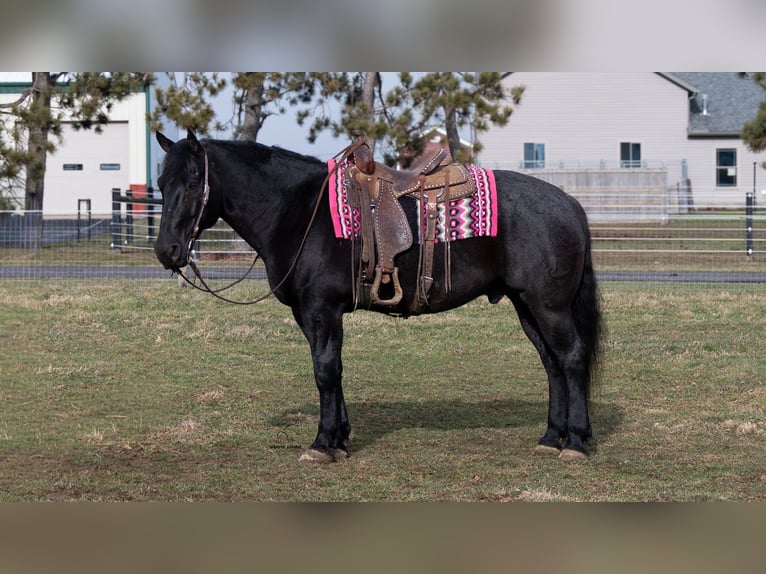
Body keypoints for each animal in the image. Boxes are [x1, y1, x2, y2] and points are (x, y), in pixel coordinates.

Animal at [153, 129, 603, 463]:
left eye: (193, 182)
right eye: (160, 183)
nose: (167, 251)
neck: (297, 211)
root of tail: (570, 204)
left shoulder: (321, 310)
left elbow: (324, 371)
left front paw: (323, 443)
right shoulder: (313, 314)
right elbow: (334, 370)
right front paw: (340, 438)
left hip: (549, 306)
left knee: (571, 359)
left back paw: (576, 443)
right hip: (526, 305)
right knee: (551, 364)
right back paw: (551, 438)